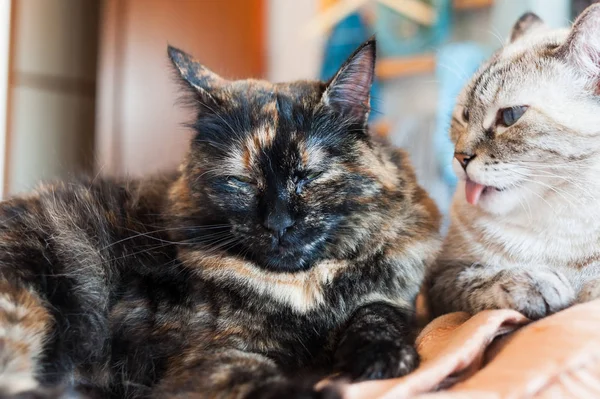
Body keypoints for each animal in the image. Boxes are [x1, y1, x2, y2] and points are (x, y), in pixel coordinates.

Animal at [0, 38, 440, 399]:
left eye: (309, 176)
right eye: (240, 181)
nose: (278, 223)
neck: (304, 288)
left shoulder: (393, 296)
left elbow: (377, 313)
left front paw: (383, 356)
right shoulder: (209, 354)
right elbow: (257, 379)